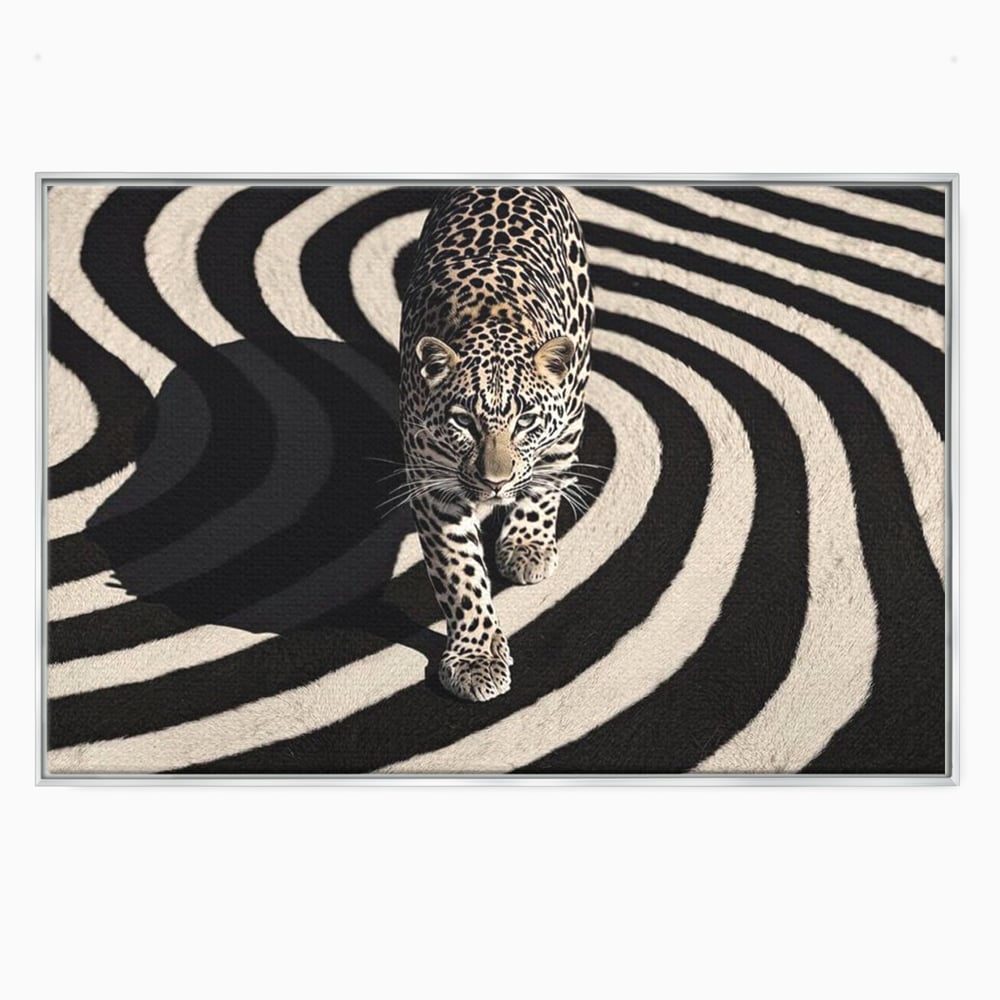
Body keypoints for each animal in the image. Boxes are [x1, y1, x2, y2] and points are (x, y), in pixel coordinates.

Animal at [398, 185, 594, 702]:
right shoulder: (434, 485)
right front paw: (477, 658)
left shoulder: (562, 429)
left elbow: (543, 485)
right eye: (463, 422)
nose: (494, 482)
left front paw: (526, 545)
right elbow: (459, 573)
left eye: (525, 421)